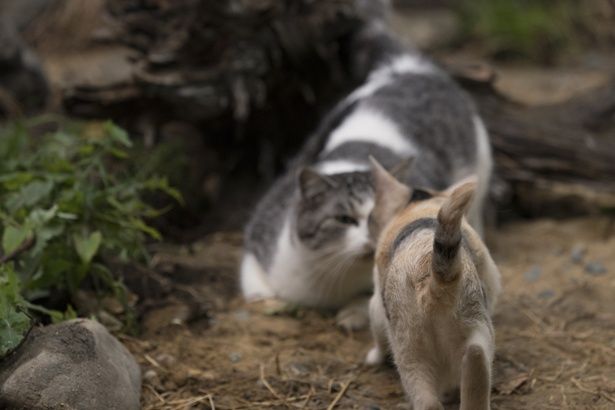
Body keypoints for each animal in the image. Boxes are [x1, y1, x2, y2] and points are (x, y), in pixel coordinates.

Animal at [239, 39, 490, 326]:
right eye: (345, 219)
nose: (374, 239)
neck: (332, 277)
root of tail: (410, 67)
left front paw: (352, 313)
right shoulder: (260, 236)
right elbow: (255, 287)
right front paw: (268, 301)